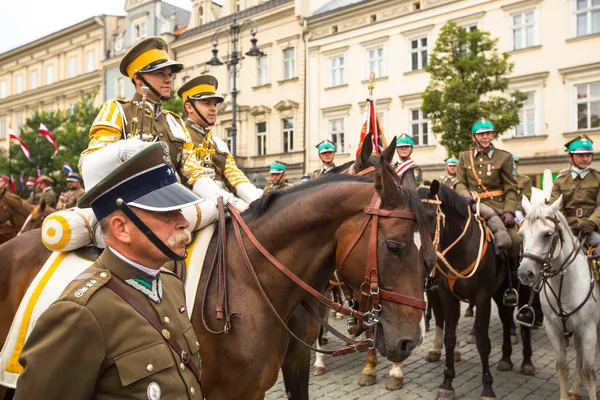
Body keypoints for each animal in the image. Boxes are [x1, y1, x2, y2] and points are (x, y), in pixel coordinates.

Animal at [420, 184, 532, 400]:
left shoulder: (482, 298)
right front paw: (447, 383)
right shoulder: (447, 295)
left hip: (522, 290)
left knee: (525, 324)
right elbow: (449, 338)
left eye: (430, 216)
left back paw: (527, 362)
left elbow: (483, 342)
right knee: (506, 319)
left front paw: (487, 388)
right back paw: (506, 358)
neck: (461, 250)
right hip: (500, 293)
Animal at [516, 196, 600, 400]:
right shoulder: (553, 328)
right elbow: (562, 367)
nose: (524, 273)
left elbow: (590, 372)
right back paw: (575, 389)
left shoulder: (588, 329)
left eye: (547, 234)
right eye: (521, 234)